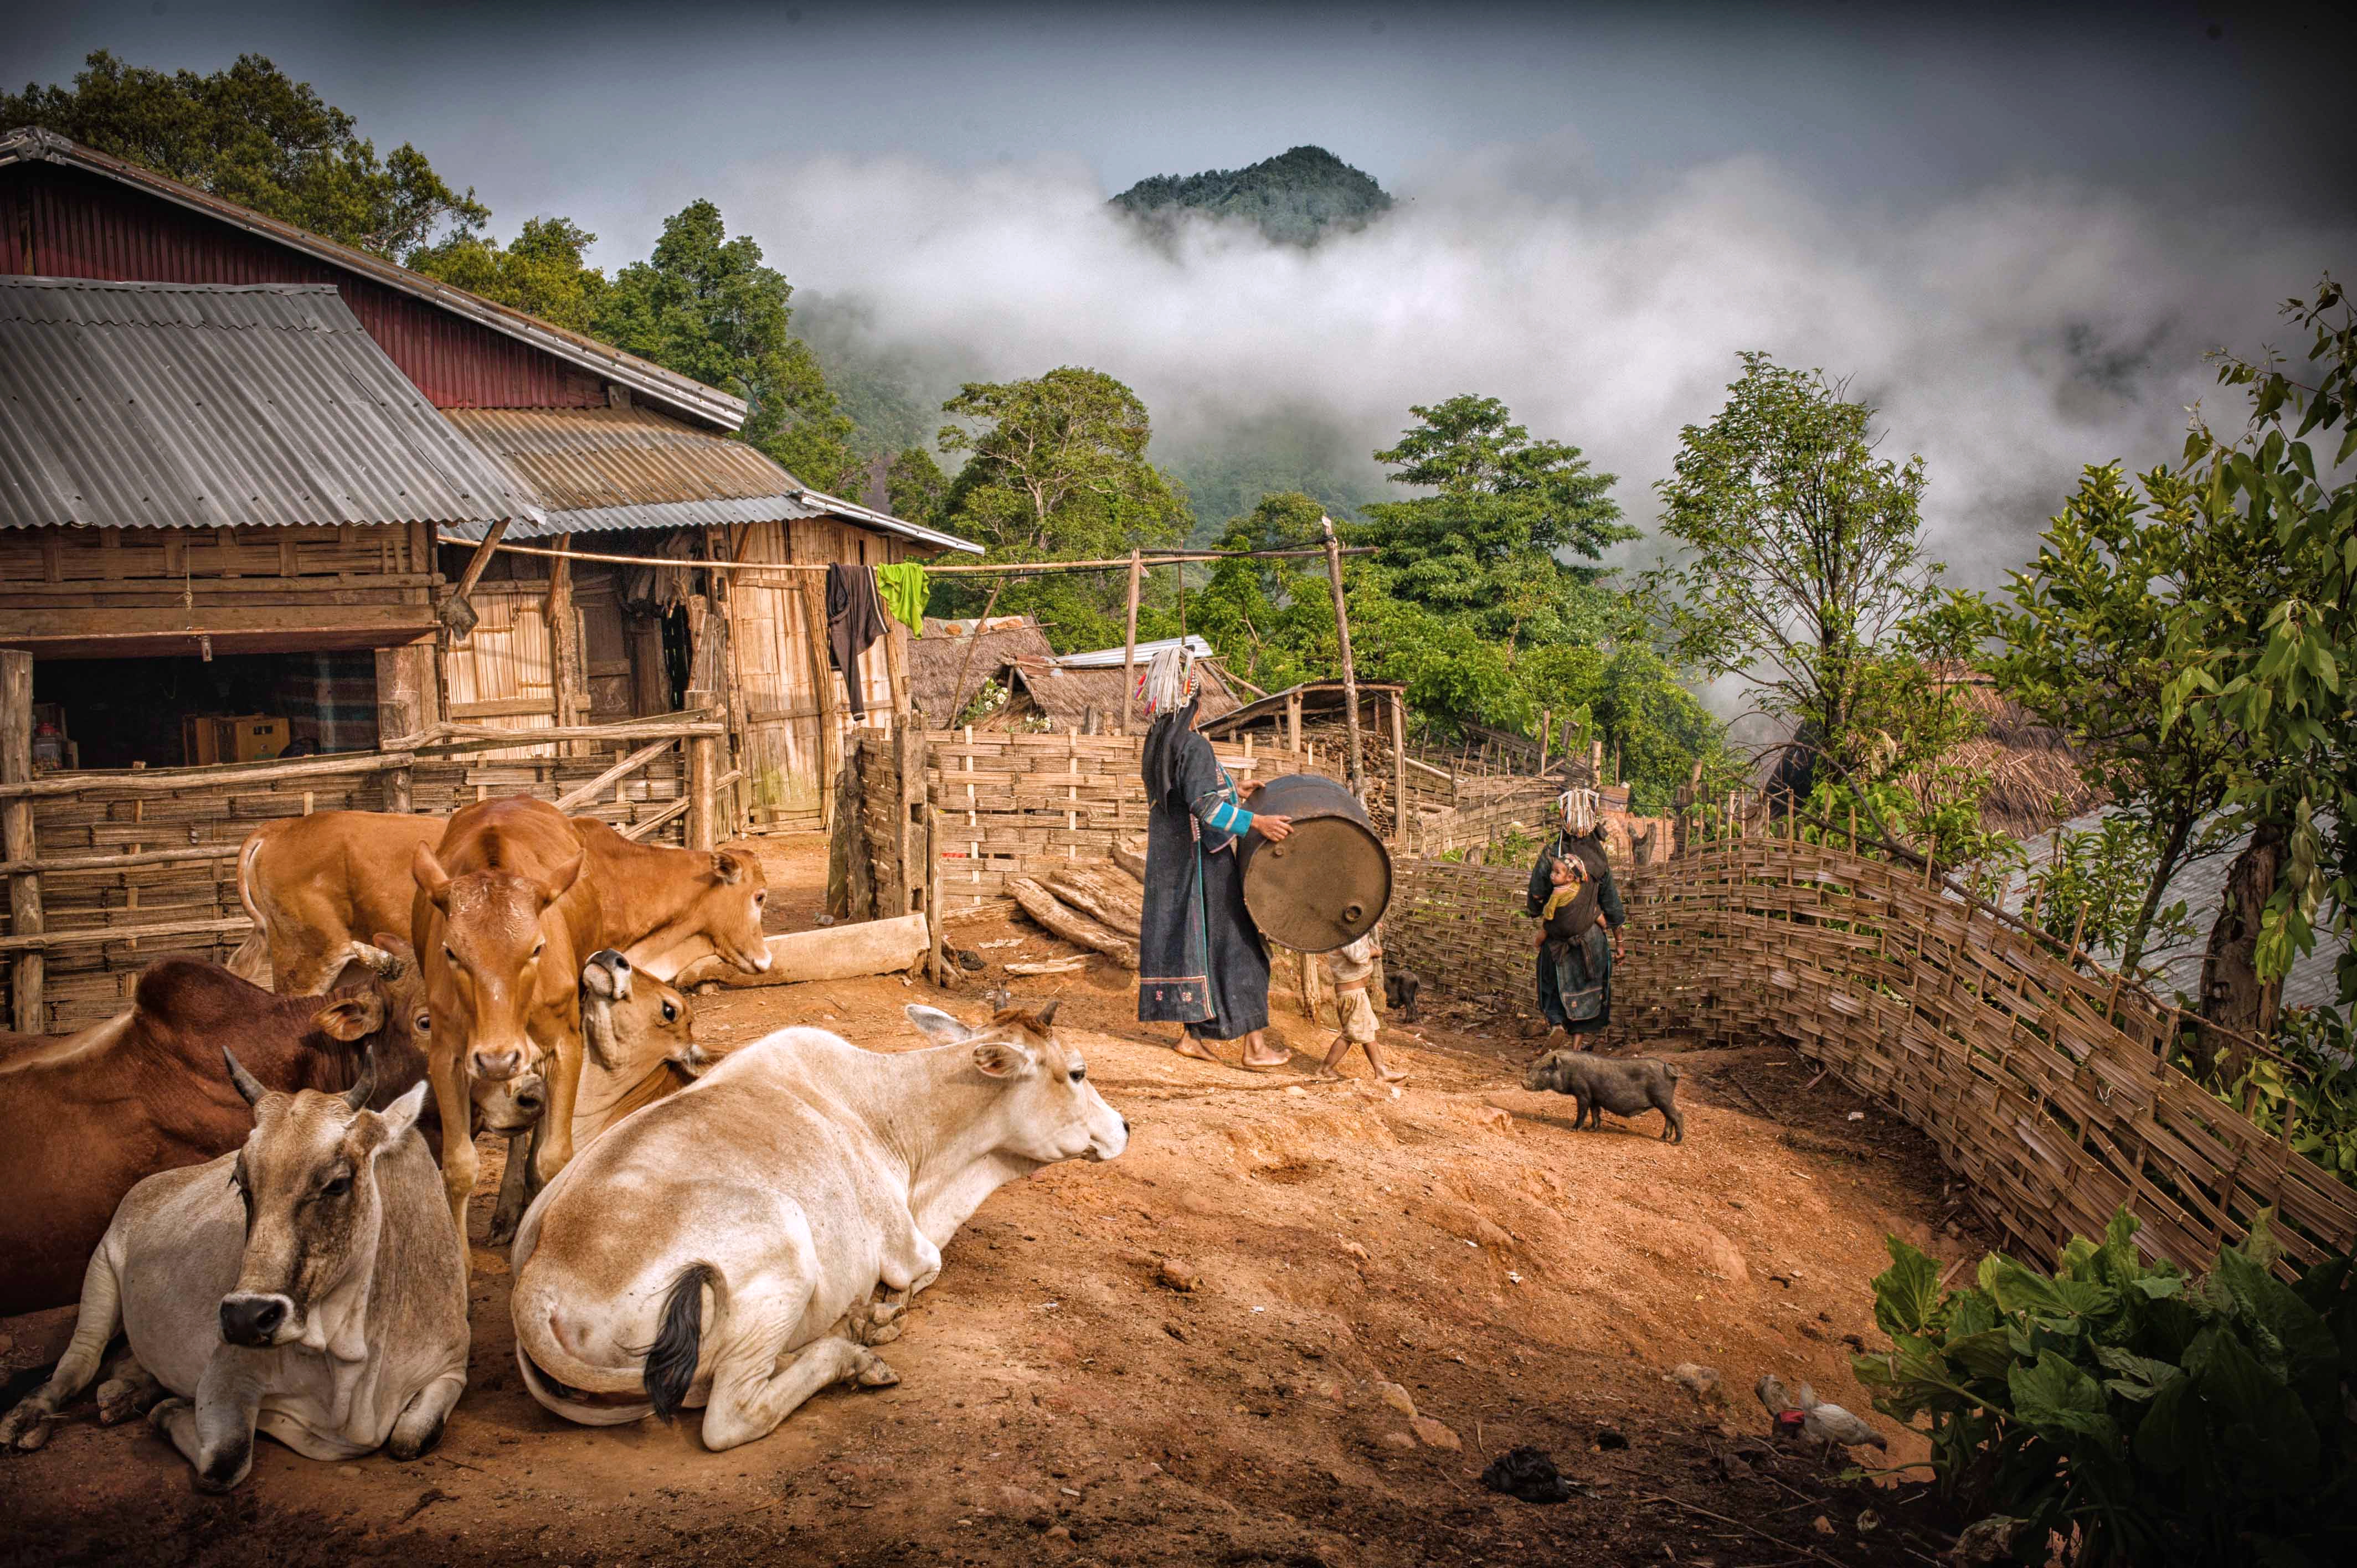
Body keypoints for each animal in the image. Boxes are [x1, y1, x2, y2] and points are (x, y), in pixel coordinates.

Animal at [0, 1051, 469, 1490]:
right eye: (241, 1184)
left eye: (338, 1183)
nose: (245, 1317)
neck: (350, 1354)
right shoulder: (228, 1374)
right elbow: (226, 1459)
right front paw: (169, 1410)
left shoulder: (451, 1369)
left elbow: (410, 1437)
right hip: (100, 1274)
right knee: (78, 1362)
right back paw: (28, 1420)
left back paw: (125, 1392)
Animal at [509, 995, 1131, 1452]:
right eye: (1078, 1072)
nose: (1124, 1127)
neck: (896, 1116)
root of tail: (539, 1279)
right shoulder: (907, 1247)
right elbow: (923, 1270)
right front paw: (878, 1313)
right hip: (782, 1239)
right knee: (731, 1413)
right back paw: (854, 1351)